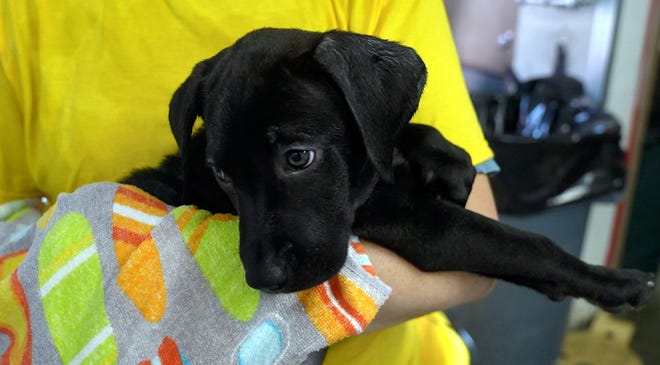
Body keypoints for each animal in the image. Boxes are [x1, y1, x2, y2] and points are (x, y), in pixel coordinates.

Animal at [124, 27, 656, 308]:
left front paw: (446, 160)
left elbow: (397, 129)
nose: (263, 280)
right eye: (222, 175)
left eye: (298, 157)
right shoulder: (424, 225)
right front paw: (613, 281)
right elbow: (527, 245)